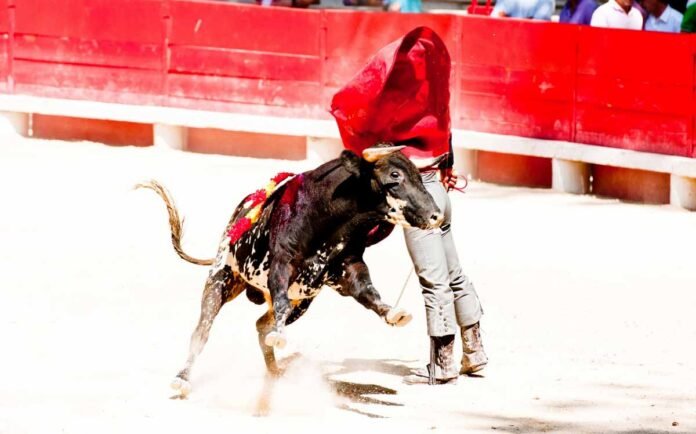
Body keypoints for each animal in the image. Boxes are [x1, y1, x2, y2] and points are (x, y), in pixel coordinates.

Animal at [139, 146, 444, 396]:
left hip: (302, 302)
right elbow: (281, 301)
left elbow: (368, 291)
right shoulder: (281, 264)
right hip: (221, 277)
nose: (437, 216)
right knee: (202, 331)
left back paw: (275, 372)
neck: (328, 215)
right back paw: (182, 379)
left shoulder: (349, 267)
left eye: (419, 177)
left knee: (262, 325)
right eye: (395, 175)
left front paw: (394, 313)